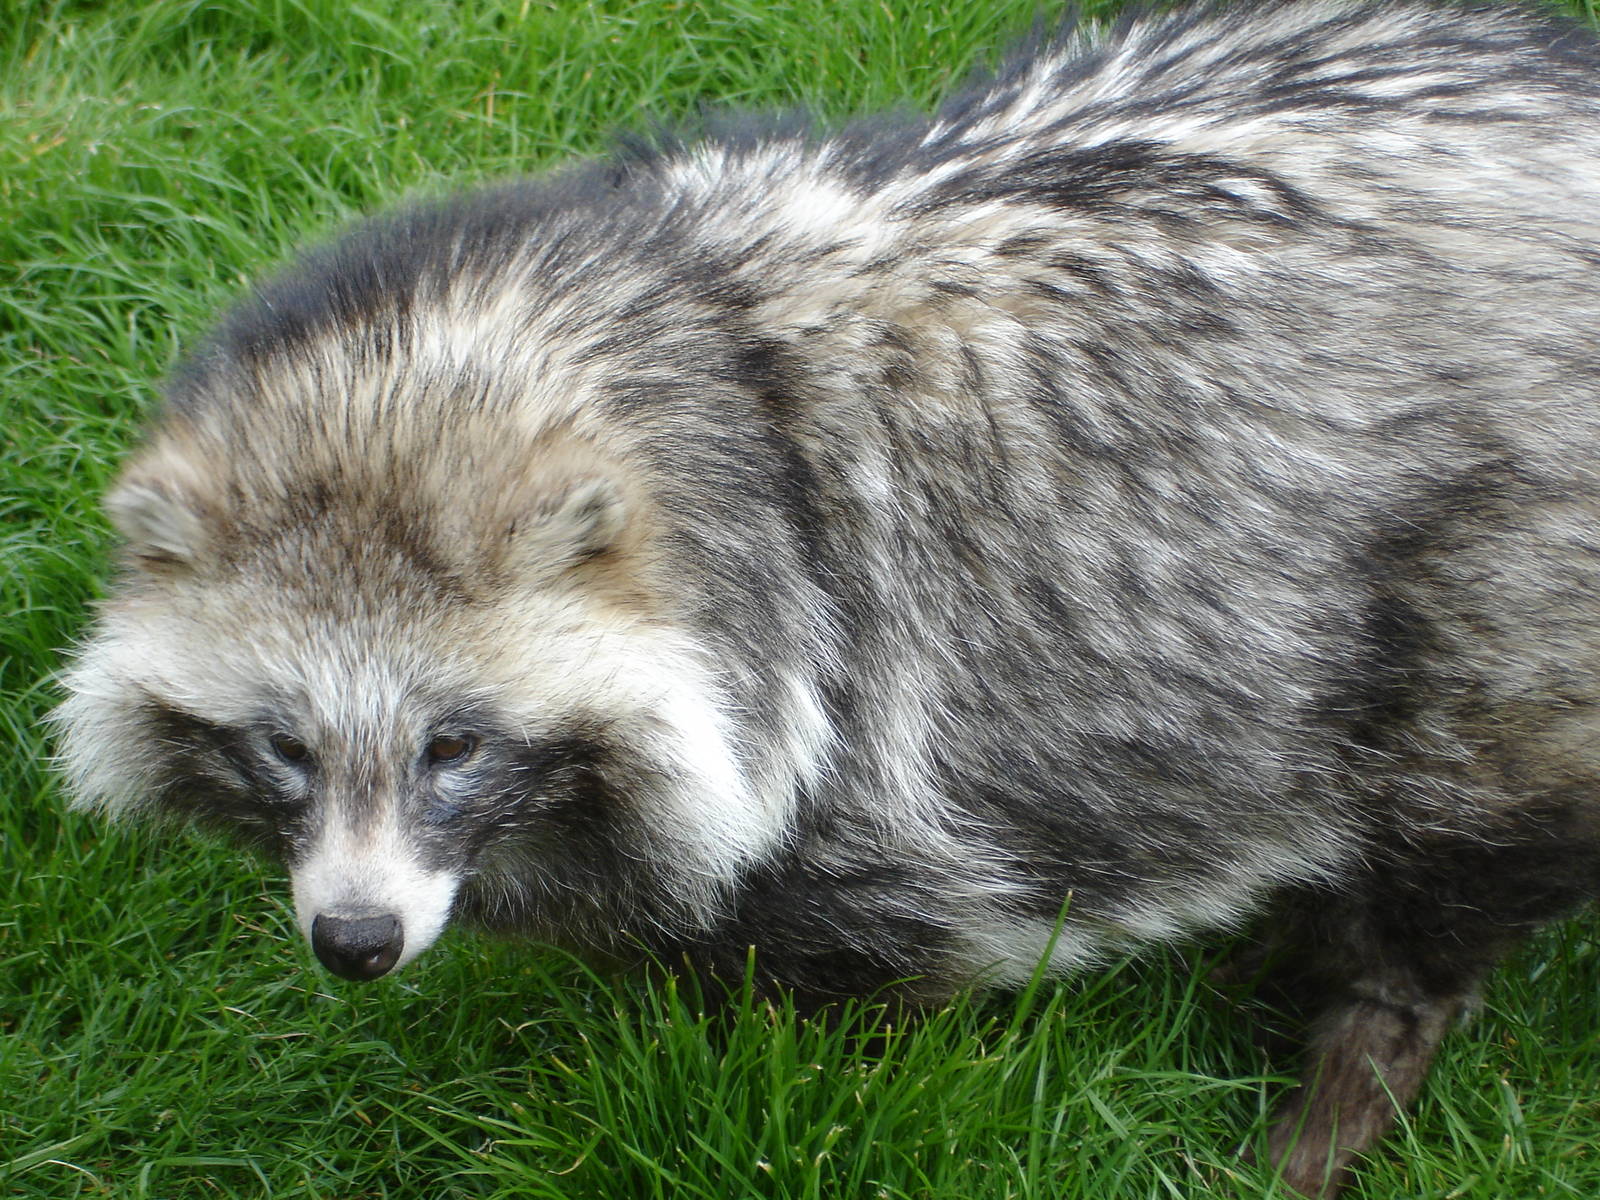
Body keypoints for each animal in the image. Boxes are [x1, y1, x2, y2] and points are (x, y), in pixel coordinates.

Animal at [54, 1, 1600, 1194]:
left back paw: (1354, 1062)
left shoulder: (871, 735)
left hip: (1497, 598)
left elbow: (858, 989)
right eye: (283, 746)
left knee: (1445, 847)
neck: (699, 351)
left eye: (456, 745)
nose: (356, 941)